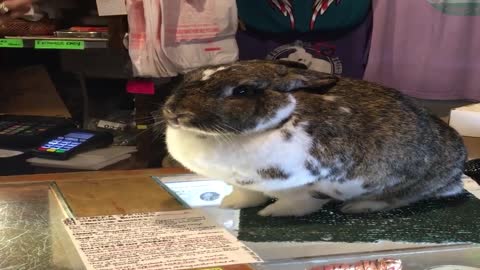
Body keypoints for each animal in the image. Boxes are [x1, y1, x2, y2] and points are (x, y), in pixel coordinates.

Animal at [161, 59, 468, 217]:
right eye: (189, 77)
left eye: (243, 91)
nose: (174, 112)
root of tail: (457, 173)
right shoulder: (245, 184)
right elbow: (246, 195)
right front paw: (231, 204)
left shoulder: (312, 183)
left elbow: (300, 203)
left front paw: (271, 213)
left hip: (409, 183)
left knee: (400, 199)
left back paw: (358, 207)